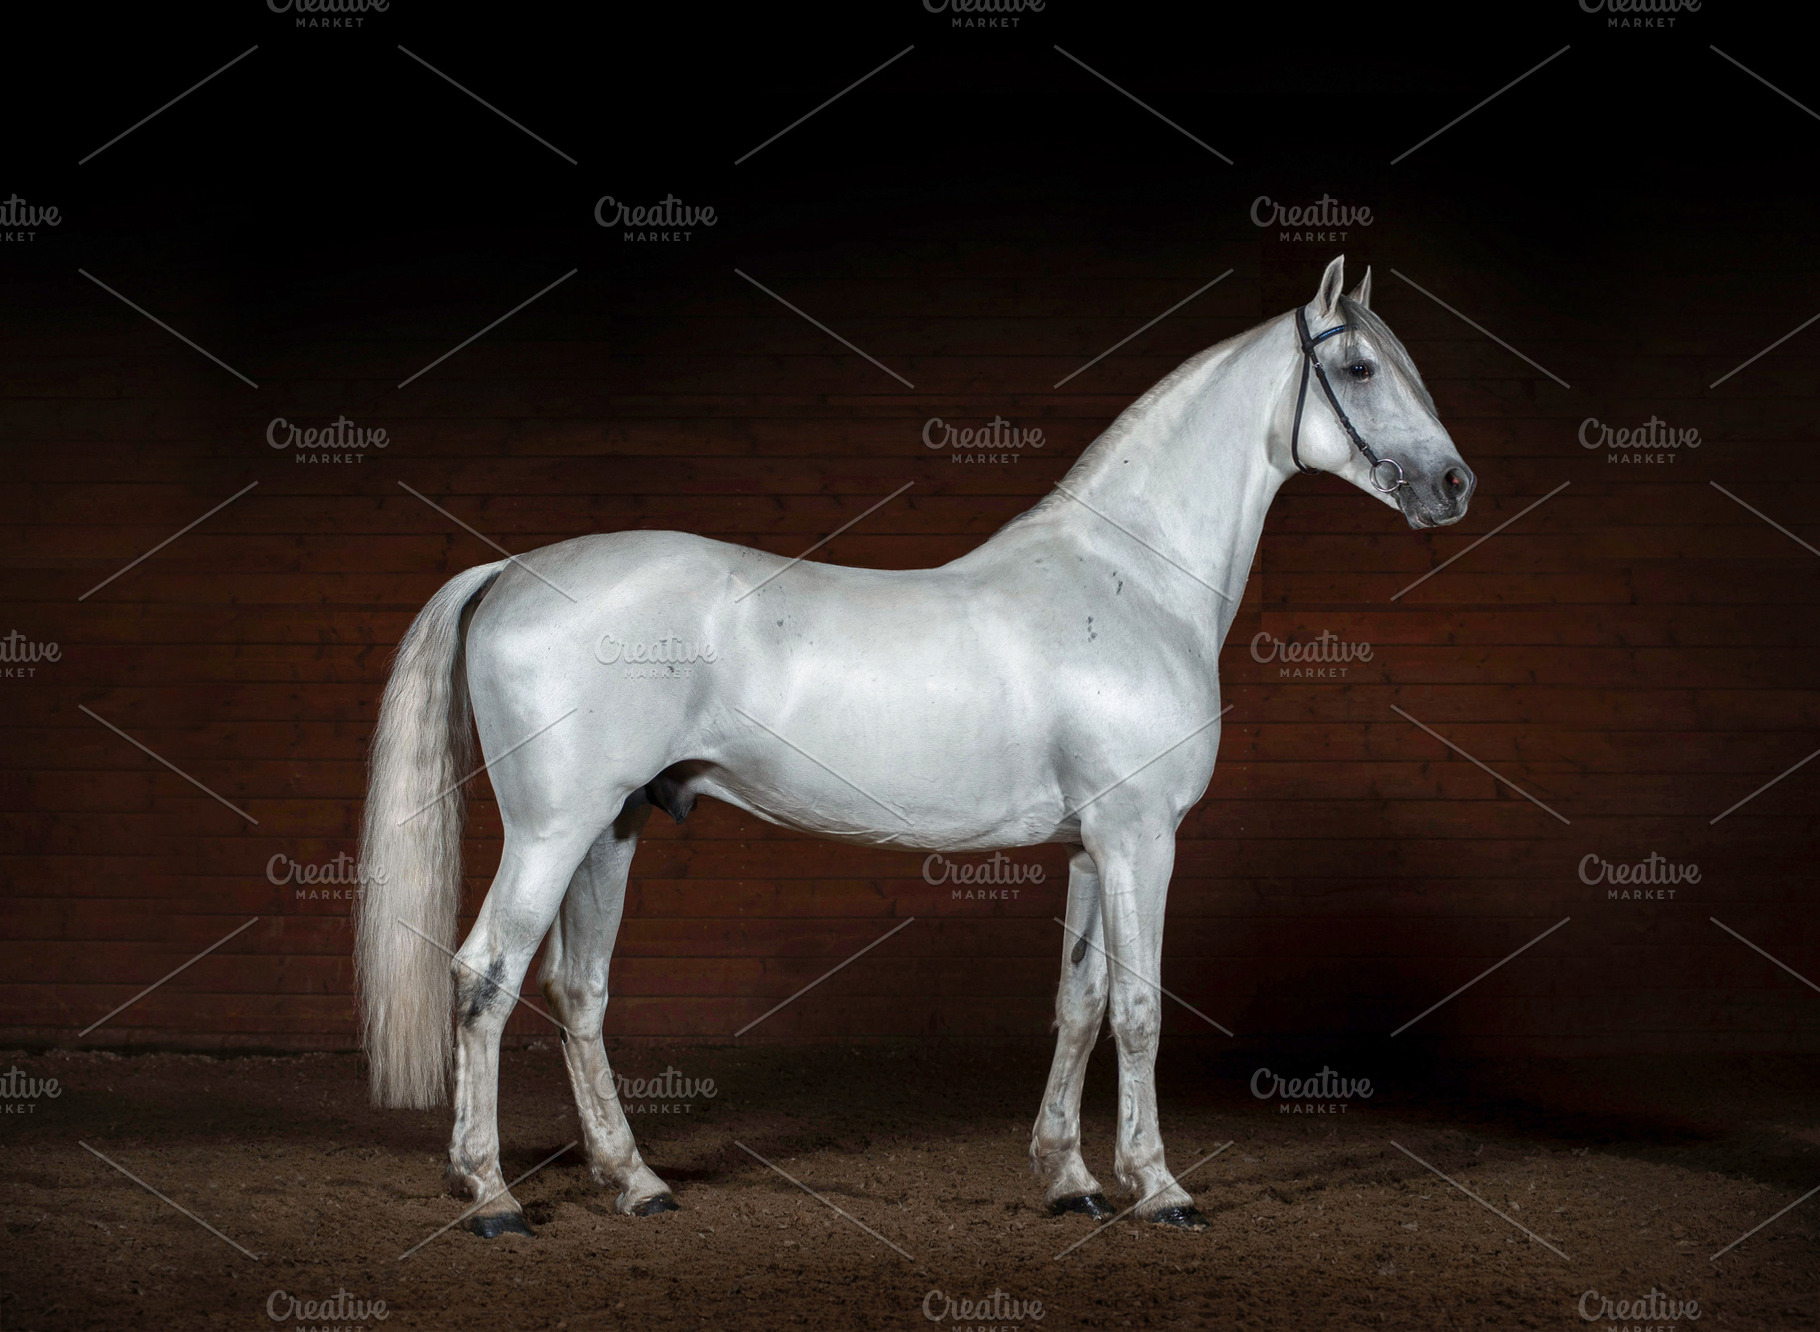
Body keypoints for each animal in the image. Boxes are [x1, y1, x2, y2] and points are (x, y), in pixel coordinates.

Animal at [355, 255, 1476, 1237]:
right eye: (1359, 367)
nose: (1454, 485)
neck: (1131, 578)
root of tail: (510, 570)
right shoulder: (1139, 838)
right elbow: (1140, 1010)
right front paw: (1158, 1190)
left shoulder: (1090, 846)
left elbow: (1079, 1002)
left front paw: (1068, 1178)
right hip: (555, 828)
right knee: (484, 977)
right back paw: (491, 1197)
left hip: (612, 828)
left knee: (577, 991)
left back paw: (636, 1184)